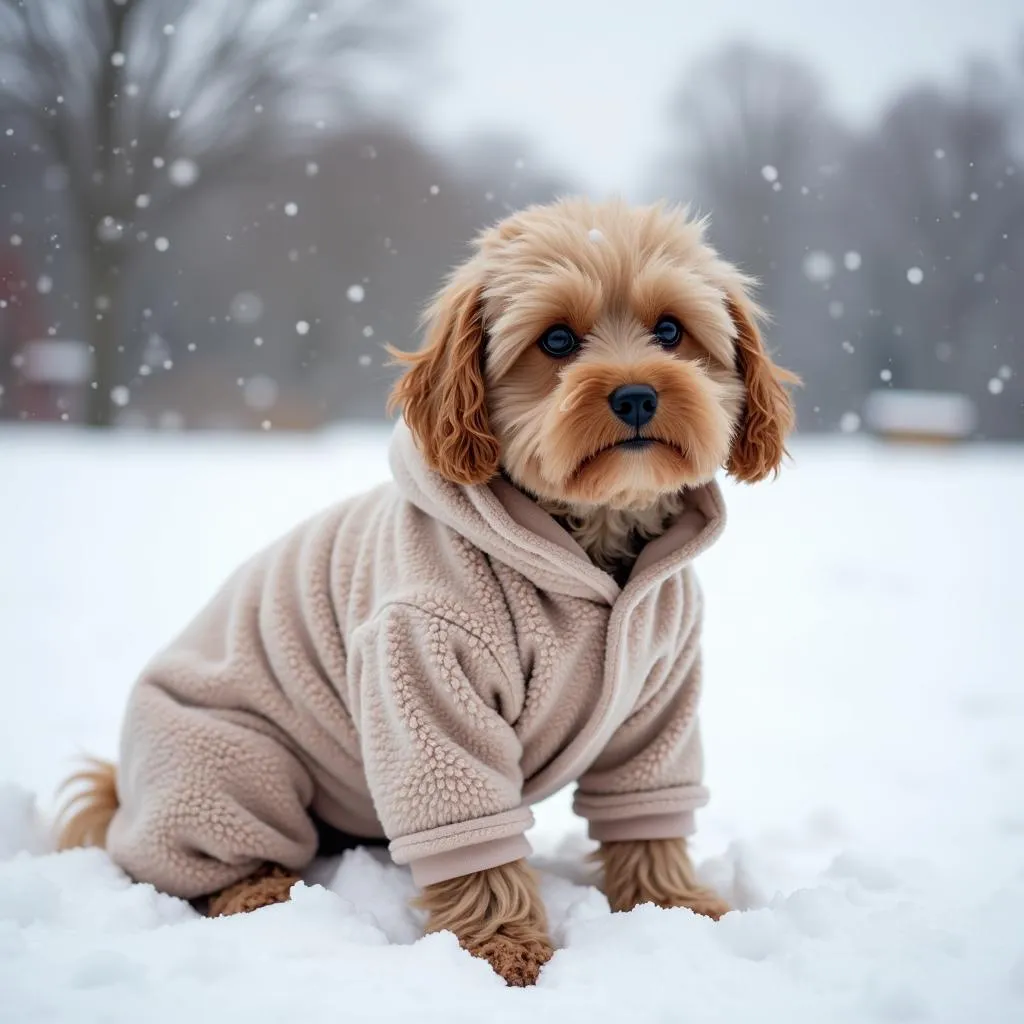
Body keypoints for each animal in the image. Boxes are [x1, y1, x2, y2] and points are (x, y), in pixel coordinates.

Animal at [56, 195, 794, 987]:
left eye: (670, 331)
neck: (588, 545)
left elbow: (648, 810)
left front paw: (679, 908)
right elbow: (470, 835)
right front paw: (504, 948)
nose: (635, 395)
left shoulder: (660, 695)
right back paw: (258, 891)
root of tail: (124, 793)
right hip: (233, 762)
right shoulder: (423, 672)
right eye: (557, 339)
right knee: (211, 856)